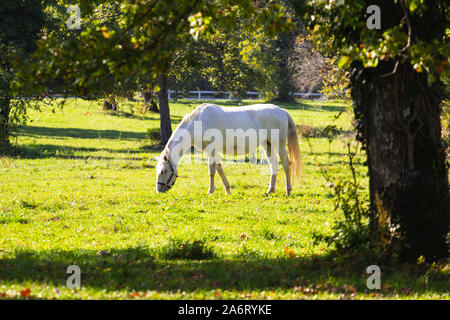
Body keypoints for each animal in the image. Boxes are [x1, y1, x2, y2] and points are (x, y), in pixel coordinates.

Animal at [155, 104, 302, 196]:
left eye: (163, 171)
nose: (159, 190)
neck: (199, 121)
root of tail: (281, 111)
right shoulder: (211, 151)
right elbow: (219, 169)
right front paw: (227, 190)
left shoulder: (211, 149)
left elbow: (212, 171)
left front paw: (211, 191)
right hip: (267, 145)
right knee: (274, 165)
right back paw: (270, 190)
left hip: (279, 145)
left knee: (286, 164)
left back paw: (288, 191)